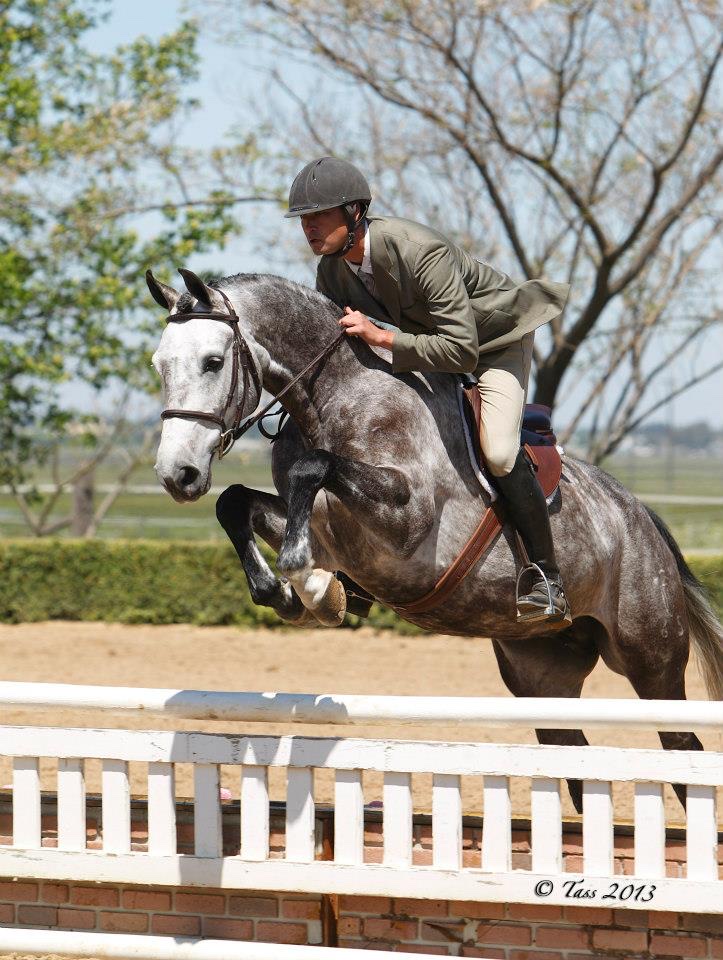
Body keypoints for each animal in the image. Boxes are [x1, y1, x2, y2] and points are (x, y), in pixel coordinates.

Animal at [147, 267, 723, 810]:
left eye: (213, 362)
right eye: (160, 365)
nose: (178, 475)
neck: (337, 397)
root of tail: (640, 516)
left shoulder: (406, 521)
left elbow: (311, 471)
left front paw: (309, 584)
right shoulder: (328, 529)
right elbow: (235, 502)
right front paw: (300, 593)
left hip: (650, 659)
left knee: (682, 750)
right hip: (541, 673)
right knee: (575, 757)